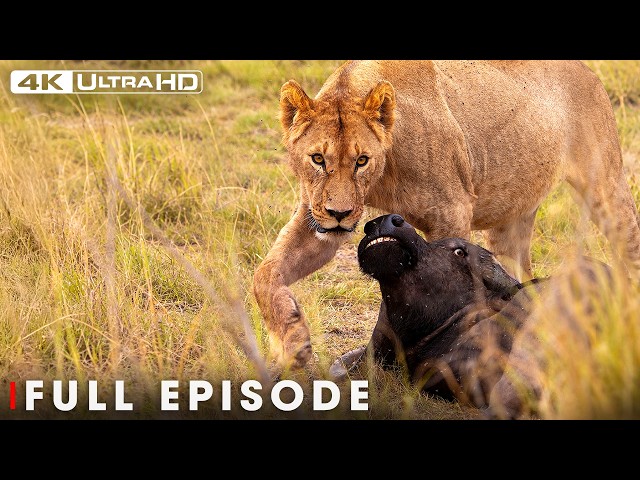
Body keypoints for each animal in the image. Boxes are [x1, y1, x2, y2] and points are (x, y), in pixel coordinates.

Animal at [253, 60, 640, 370]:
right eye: (318, 159)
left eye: (361, 160)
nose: (339, 213)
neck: (382, 175)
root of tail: (588, 71)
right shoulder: (315, 218)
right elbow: (265, 274)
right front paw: (293, 341)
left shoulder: (452, 213)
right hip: (511, 219)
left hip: (606, 188)